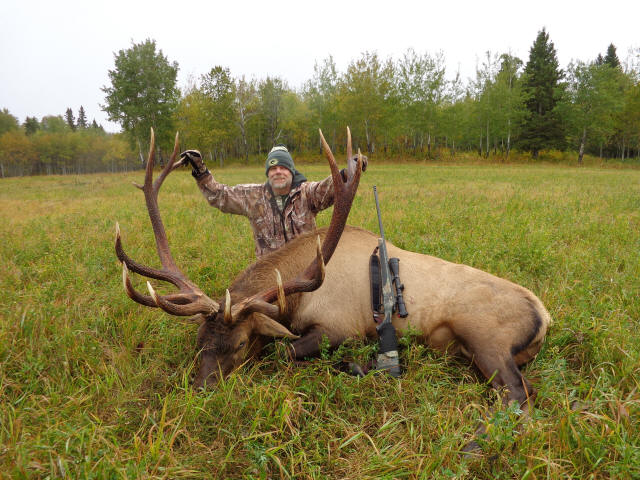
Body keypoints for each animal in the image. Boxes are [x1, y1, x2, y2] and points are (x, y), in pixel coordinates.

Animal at [115, 129, 550, 452]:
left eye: (239, 344)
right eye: (199, 341)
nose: (201, 392)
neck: (295, 298)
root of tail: (545, 316)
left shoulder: (339, 327)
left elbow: (285, 352)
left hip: (485, 336)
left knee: (519, 394)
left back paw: (473, 443)